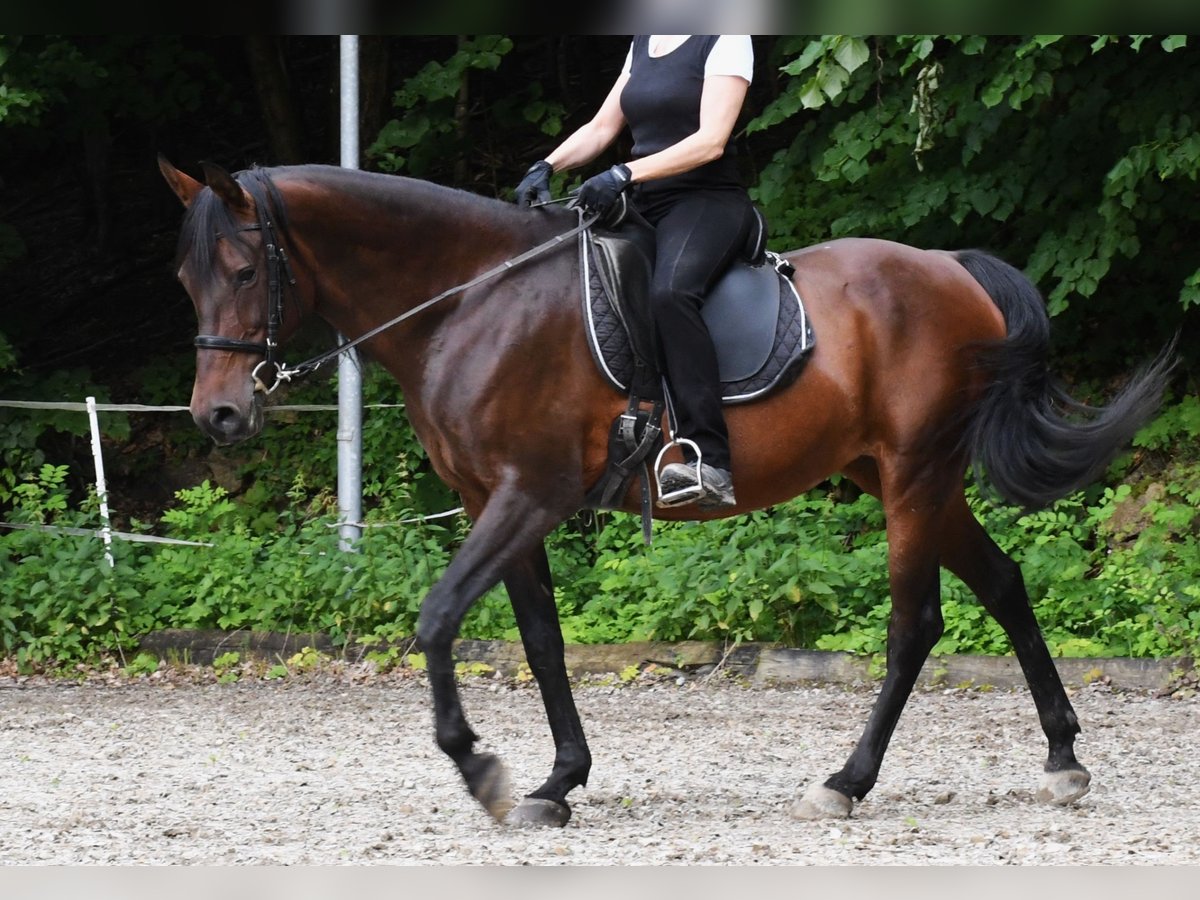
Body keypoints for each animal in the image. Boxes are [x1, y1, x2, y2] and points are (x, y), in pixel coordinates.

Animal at [157, 158, 1171, 830]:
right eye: (185, 279)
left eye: (244, 271)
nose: (219, 415)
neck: (470, 302)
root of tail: (953, 268)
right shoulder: (497, 501)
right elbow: (542, 642)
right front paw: (558, 781)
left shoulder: (529, 493)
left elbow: (439, 618)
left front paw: (482, 769)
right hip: (896, 474)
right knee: (1002, 583)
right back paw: (1064, 758)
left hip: (916, 475)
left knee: (914, 624)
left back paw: (847, 781)